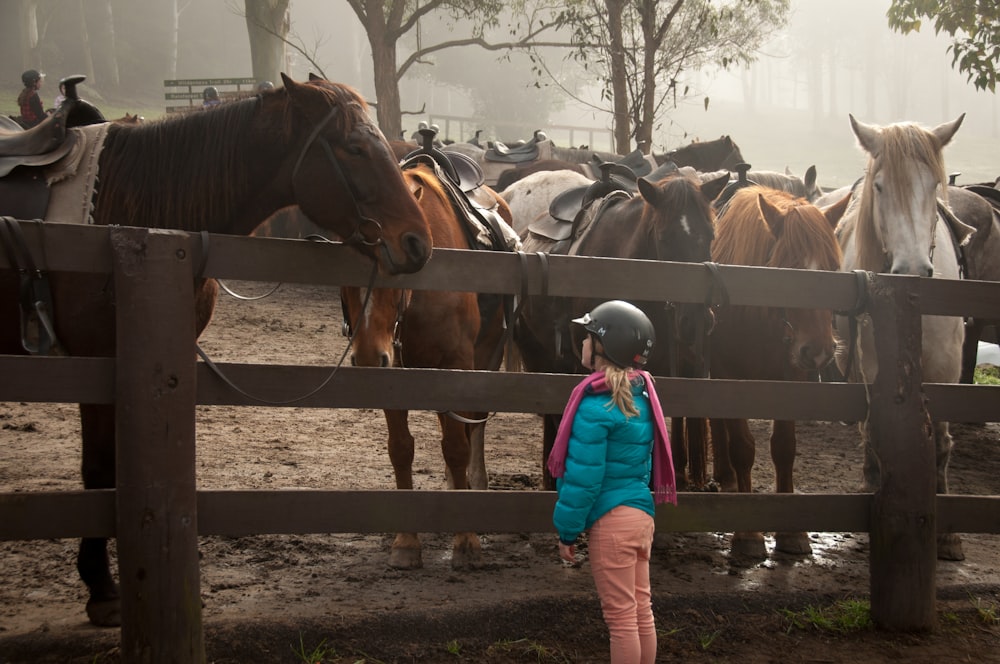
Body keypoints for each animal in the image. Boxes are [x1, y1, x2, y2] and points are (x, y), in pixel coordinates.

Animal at [0, 74, 430, 628]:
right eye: (354, 148)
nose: (418, 243)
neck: (131, 212)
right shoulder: (96, 363)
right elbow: (97, 471)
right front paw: (101, 588)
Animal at [340, 160, 512, 572]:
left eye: (398, 266)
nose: (367, 358)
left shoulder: (457, 366)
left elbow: (457, 447)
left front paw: (466, 540)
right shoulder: (396, 374)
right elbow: (401, 449)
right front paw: (406, 541)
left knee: (473, 428)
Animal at [704, 184, 844, 556]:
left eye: (834, 268)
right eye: (788, 268)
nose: (818, 350)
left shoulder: (792, 379)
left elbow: (784, 447)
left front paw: (791, 533)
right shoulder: (729, 377)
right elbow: (742, 447)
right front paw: (748, 535)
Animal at [832, 114, 972, 560]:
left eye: (933, 184)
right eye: (880, 187)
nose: (912, 268)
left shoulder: (947, 369)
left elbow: (941, 442)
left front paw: (948, 536)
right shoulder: (876, 366)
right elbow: (878, 430)